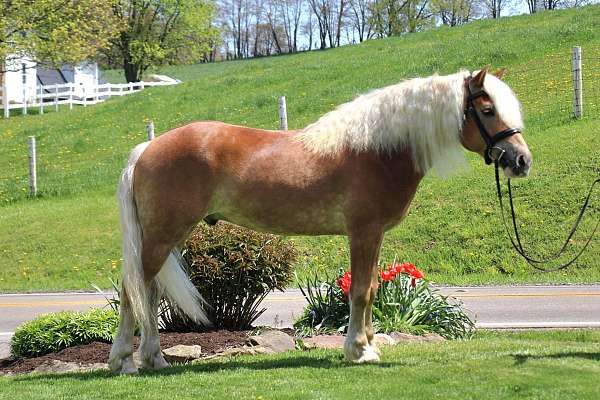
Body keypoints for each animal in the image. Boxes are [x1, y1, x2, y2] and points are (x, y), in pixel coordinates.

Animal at [106, 67, 528, 374]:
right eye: (487, 111)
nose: (521, 161)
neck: (377, 150)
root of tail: (148, 147)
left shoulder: (374, 236)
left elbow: (372, 286)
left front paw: (369, 344)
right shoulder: (363, 233)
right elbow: (361, 291)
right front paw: (359, 351)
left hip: (169, 237)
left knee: (151, 292)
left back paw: (155, 358)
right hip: (160, 236)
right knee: (132, 291)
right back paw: (124, 361)